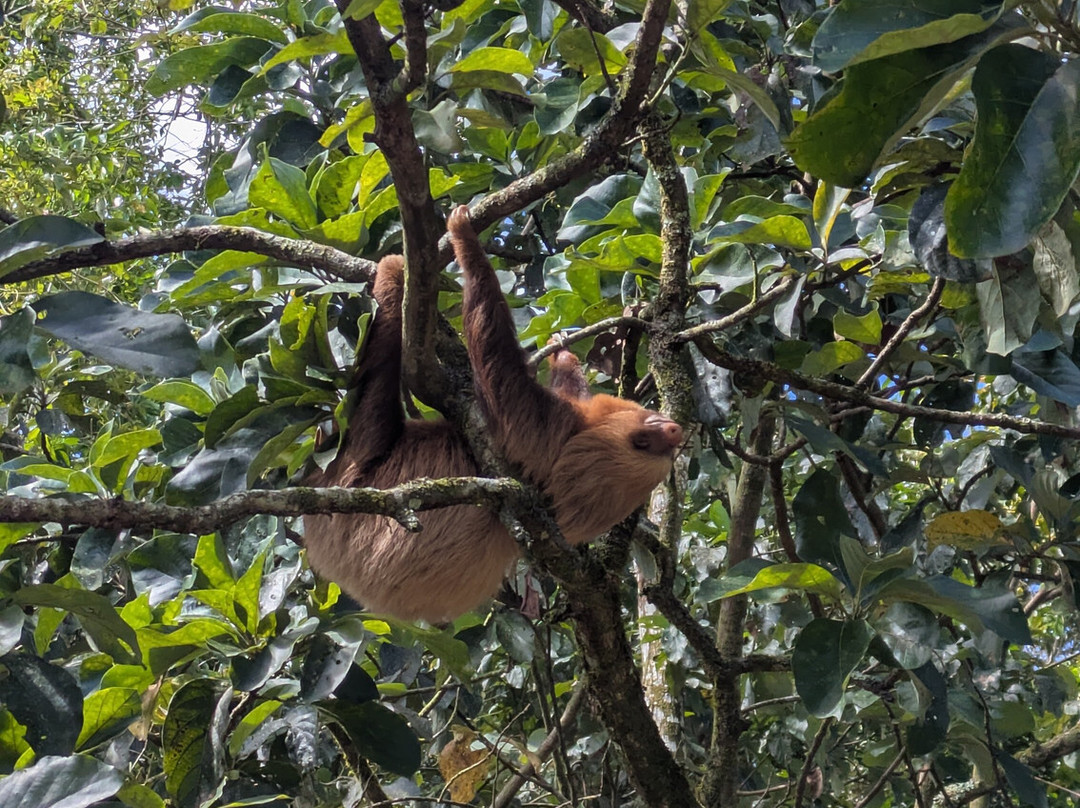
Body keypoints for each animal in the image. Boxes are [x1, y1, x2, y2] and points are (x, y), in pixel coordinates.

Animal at [304, 206, 683, 623]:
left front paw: (463, 236)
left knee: (374, 396)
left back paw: (391, 277)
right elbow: (564, 386)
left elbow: (499, 367)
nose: (674, 431)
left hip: (351, 479)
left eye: (644, 443)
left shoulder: (546, 432)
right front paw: (561, 352)